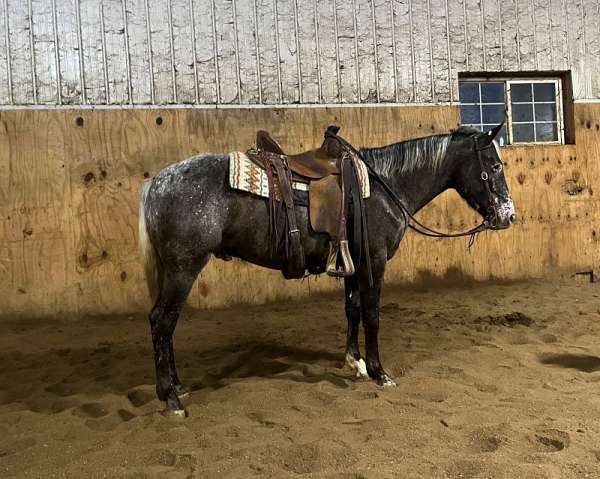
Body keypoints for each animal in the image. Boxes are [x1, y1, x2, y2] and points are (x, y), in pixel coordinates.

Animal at [138, 124, 512, 416]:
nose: (508, 215)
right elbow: (373, 314)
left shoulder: (354, 263)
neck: (384, 186)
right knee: (161, 321)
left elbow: (353, 309)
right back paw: (171, 399)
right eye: (494, 166)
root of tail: (155, 183)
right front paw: (380, 372)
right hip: (183, 268)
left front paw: (355, 363)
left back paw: (178, 388)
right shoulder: (374, 260)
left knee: (165, 324)